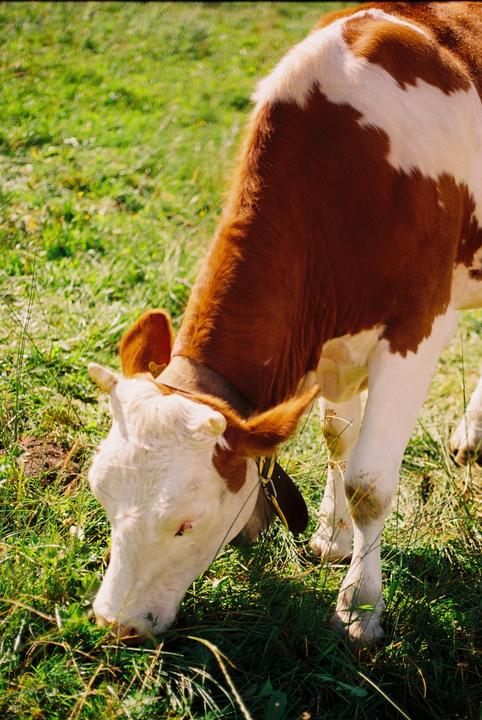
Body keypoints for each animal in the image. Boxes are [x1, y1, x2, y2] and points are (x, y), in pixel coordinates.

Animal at [87, 2, 482, 644]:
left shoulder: (418, 326)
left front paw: (361, 607)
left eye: (185, 523)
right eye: (101, 494)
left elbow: (370, 482)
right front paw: (332, 537)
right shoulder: (331, 341)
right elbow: (338, 440)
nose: (114, 624)